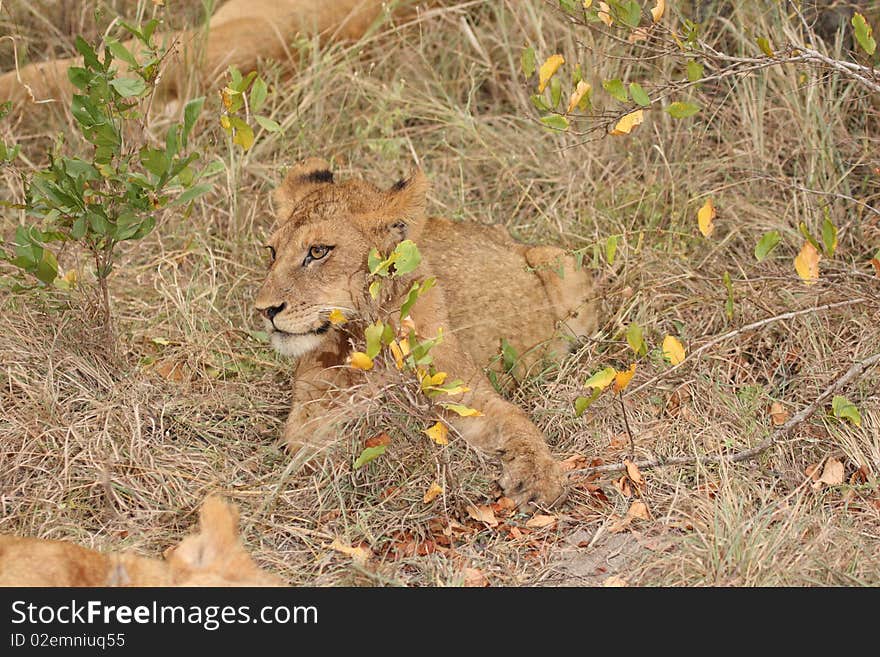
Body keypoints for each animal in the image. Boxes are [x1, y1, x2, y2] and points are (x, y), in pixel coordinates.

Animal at [256, 160, 600, 508]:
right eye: (272, 252)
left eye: (318, 251)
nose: (265, 309)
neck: (365, 334)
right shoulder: (306, 420)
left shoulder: (468, 396)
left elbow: (515, 421)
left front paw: (540, 476)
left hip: (559, 261)